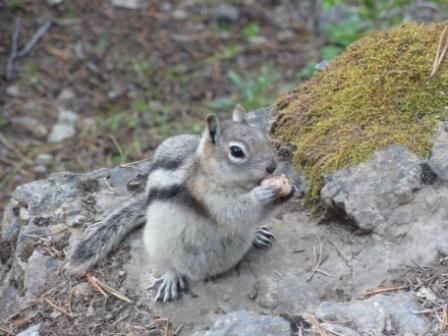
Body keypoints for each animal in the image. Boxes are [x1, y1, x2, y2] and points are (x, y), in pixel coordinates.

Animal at [65, 105, 292, 302]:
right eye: (237, 151)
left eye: (263, 137)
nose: (272, 166)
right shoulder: (208, 196)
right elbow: (233, 211)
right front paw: (262, 193)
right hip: (158, 243)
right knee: (170, 264)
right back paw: (170, 277)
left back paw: (256, 234)